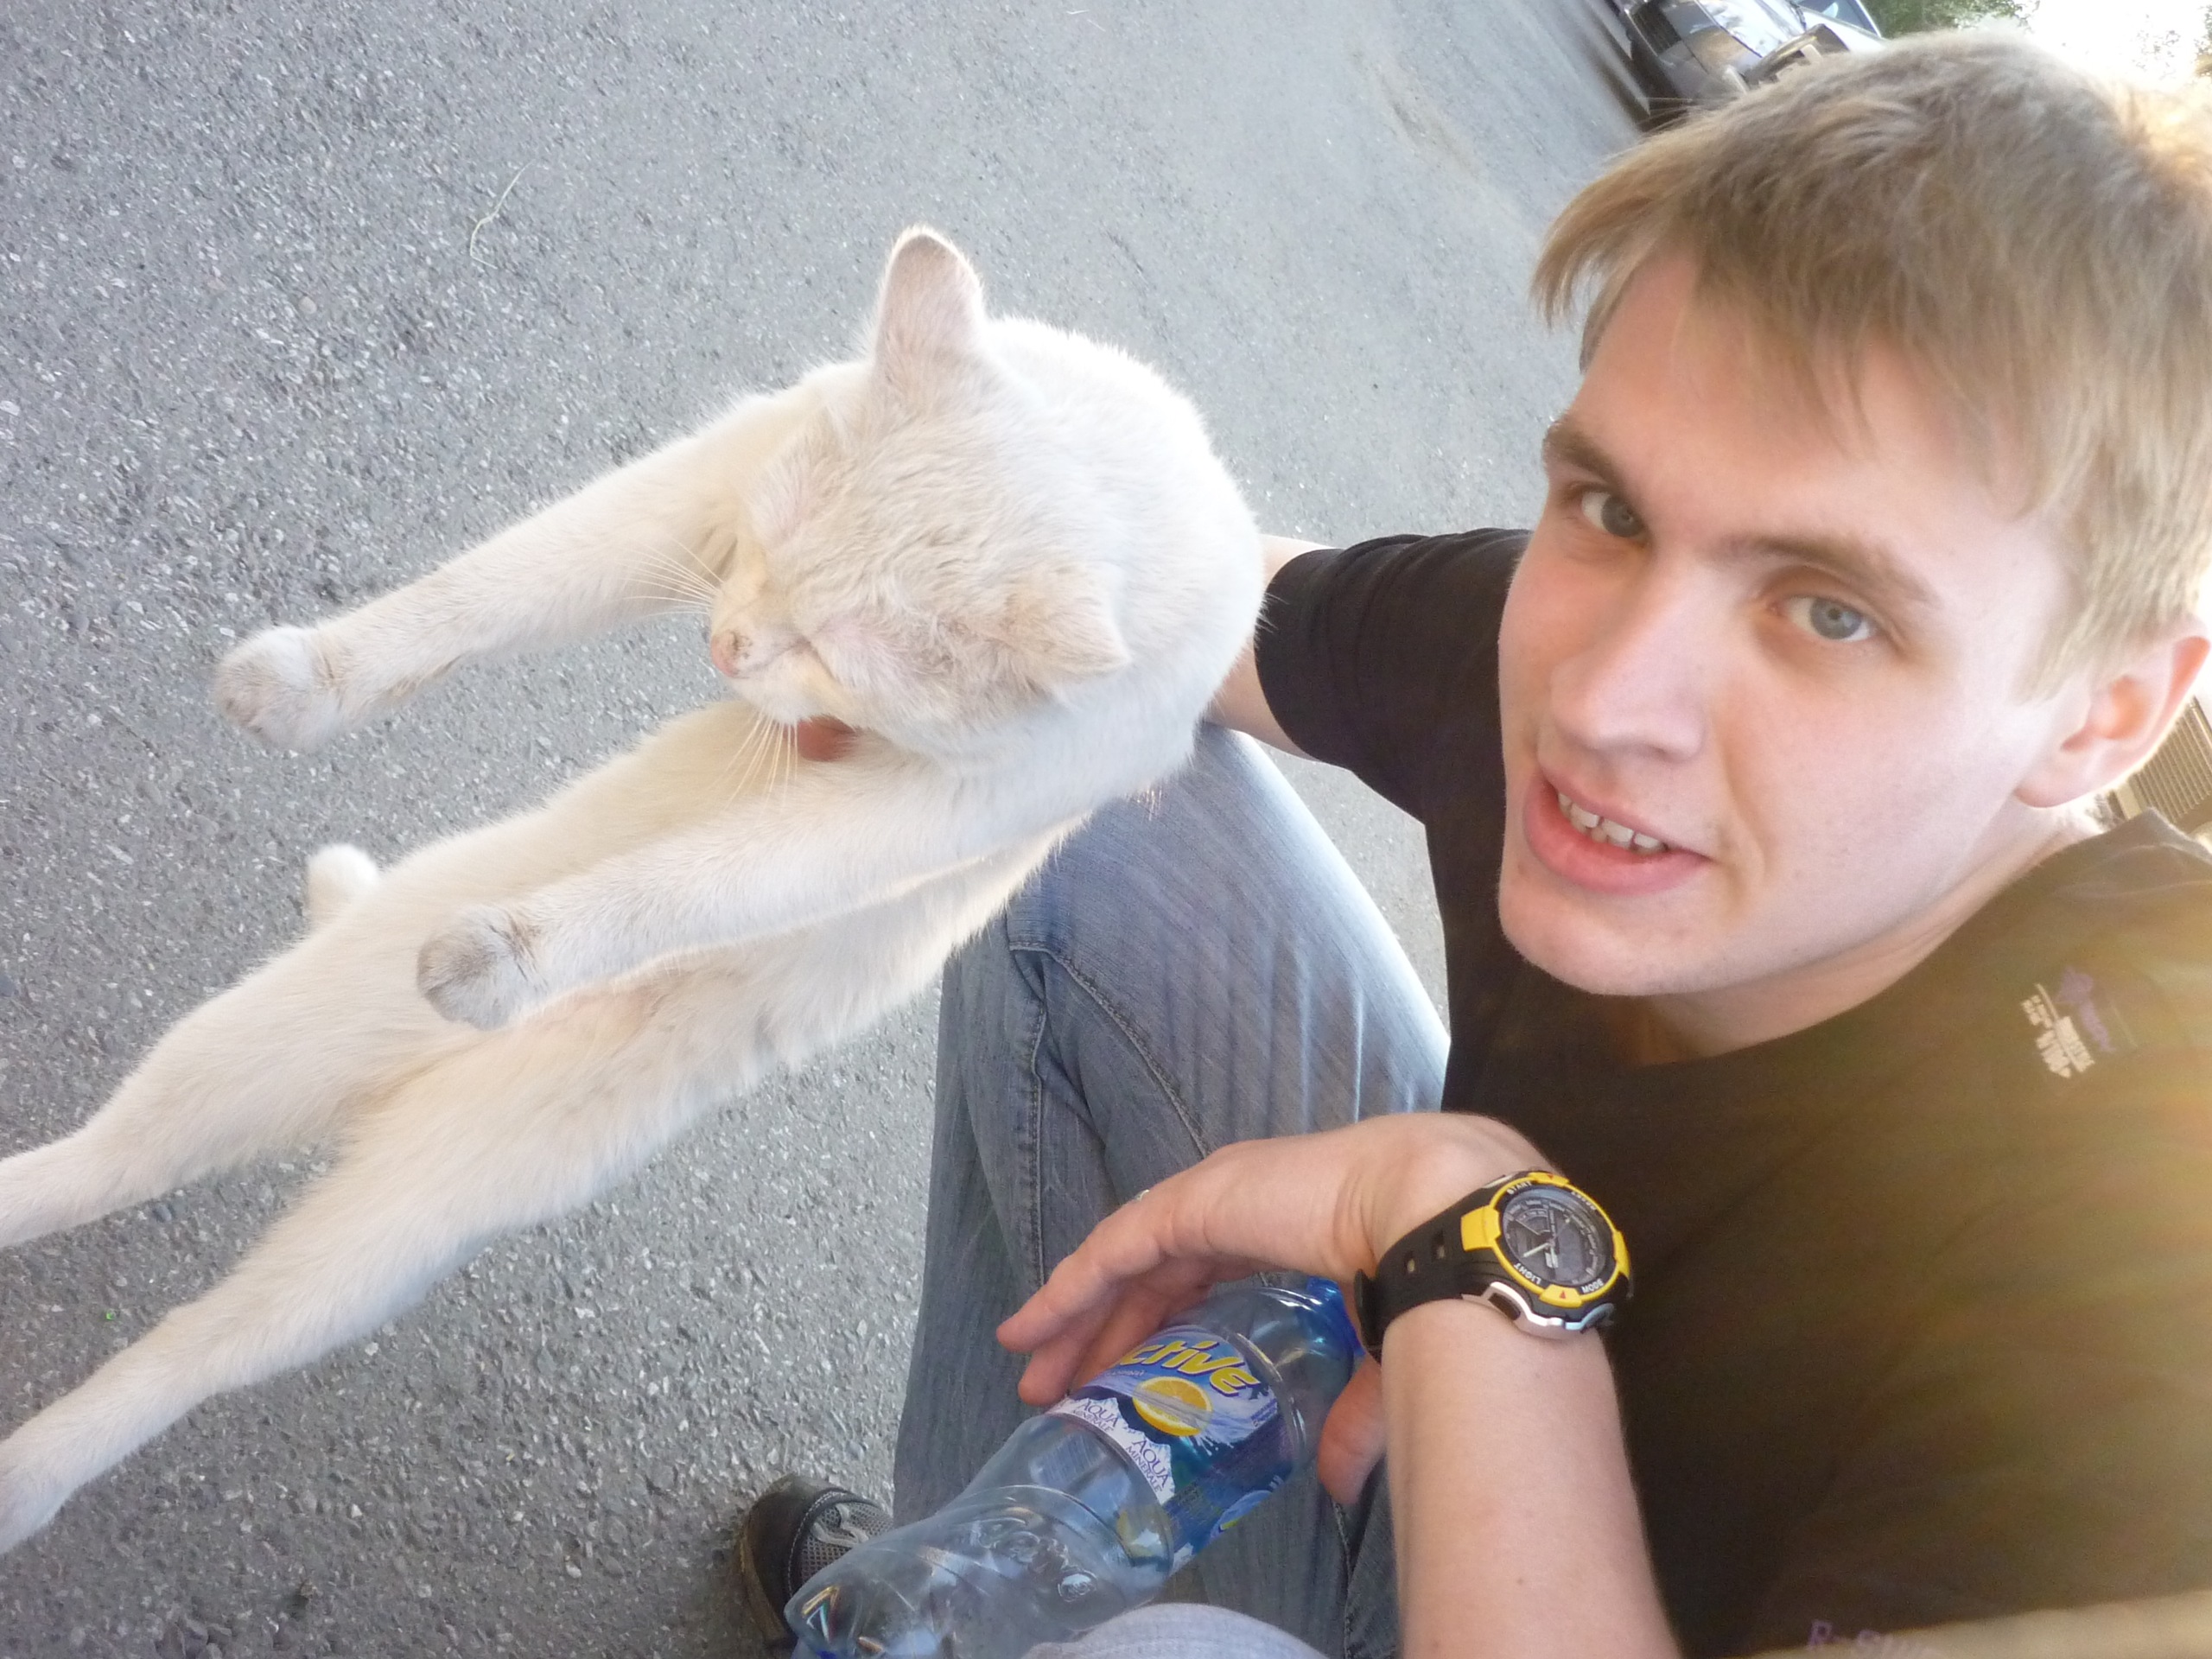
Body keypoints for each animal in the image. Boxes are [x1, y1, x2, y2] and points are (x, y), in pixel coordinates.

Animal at [0, 228, 1262, 1553]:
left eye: (831, 651)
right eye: (766, 550)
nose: (727, 646)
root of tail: (404, 1084)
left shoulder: (925, 811)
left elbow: (702, 878)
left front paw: (509, 955)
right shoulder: (712, 474)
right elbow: (493, 586)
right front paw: (312, 678)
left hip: (386, 1237)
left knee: (195, 1337)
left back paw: (28, 1473)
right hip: (273, 1037)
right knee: (115, 1161)